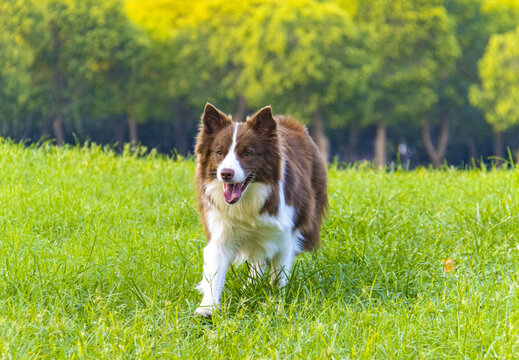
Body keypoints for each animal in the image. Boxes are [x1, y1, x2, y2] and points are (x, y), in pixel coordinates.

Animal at [195, 104, 330, 318]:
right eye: (219, 152)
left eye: (248, 153)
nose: (226, 174)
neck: (247, 201)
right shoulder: (221, 227)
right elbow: (215, 269)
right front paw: (207, 309)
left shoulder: (285, 231)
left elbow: (280, 270)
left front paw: (277, 298)